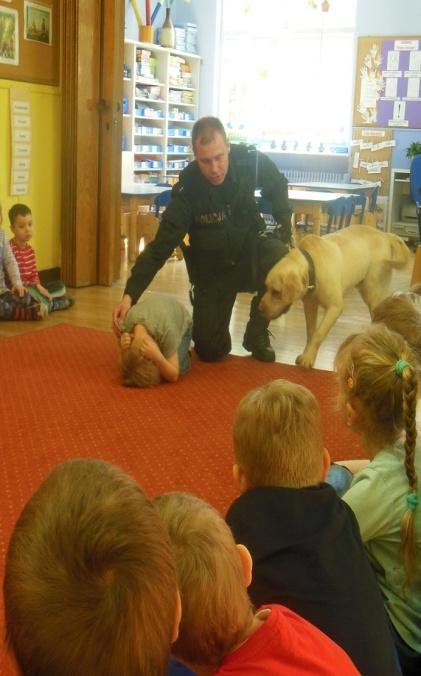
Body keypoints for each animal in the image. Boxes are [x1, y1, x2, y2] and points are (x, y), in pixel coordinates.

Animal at [258, 224, 408, 368]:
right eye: (266, 287)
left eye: (276, 292)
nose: (259, 310)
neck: (313, 265)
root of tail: (385, 235)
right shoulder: (310, 306)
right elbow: (311, 332)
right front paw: (307, 355)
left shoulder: (335, 307)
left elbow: (318, 333)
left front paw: (308, 358)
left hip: (373, 294)